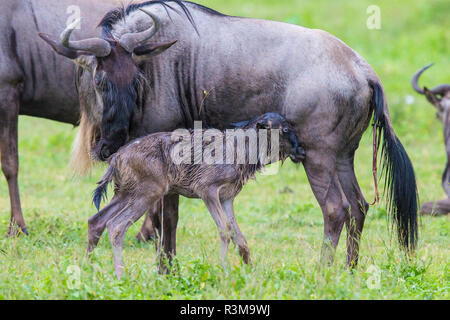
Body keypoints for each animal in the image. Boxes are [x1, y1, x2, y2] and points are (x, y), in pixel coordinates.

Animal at [87, 113, 306, 278]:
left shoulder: (227, 197)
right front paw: (225, 271)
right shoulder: (207, 190)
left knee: (96, 220)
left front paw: (250, 271)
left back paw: (90, 270)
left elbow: (240, 237)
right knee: (116, 225)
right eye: (285, 130)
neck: (241, 151)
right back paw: (119, 275)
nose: (302, 151)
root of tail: (116, 157)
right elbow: (225, 231)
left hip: (125, 193)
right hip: (147, 192)